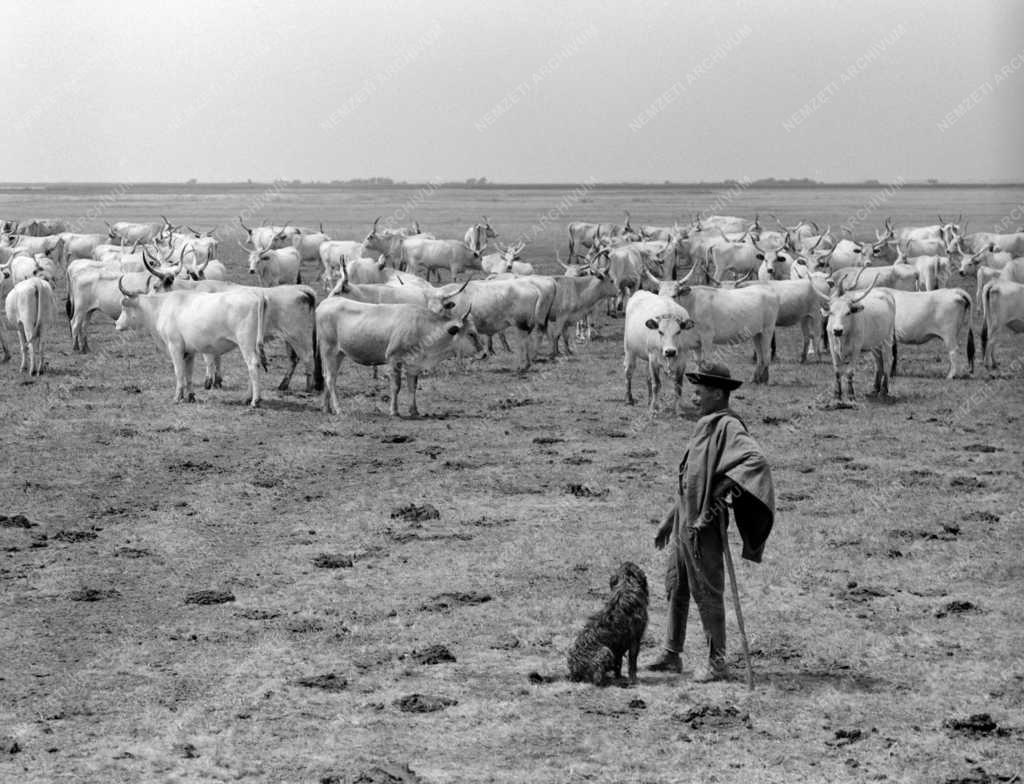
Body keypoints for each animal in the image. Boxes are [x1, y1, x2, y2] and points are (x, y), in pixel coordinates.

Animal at [115, 280, 268, 405]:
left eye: (123, 307)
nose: (117, 324)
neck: (161, 307)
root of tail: (255, 294)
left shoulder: (175, 346)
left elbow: (179, 372)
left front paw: (177, 397)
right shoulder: (189, 351)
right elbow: (188, 373)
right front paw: (190, 396)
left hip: (245, 343)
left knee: (252, 365)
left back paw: (254, 400)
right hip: (253, 345)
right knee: (254, 365)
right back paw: (247, 398)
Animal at [313, 296, 473, 417]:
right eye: (471, 334)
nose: (480, 351)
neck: (421, 327)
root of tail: (324, 303)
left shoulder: (413, 364)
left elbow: (412, 386)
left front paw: (414, 411)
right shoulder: (393, 358)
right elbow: (396, 385)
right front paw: (394, 411)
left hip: (338, 353)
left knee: (327, 376)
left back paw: (326, 408)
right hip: (329, 350)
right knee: (330, 378)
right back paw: (338, 409)